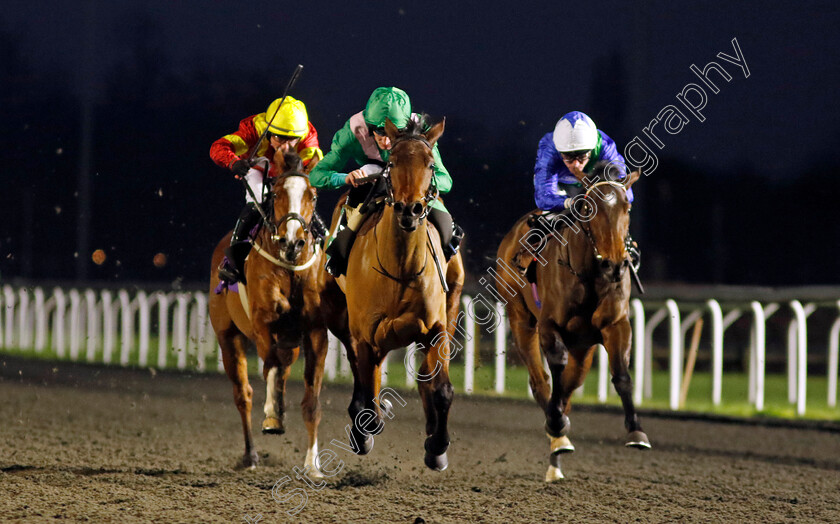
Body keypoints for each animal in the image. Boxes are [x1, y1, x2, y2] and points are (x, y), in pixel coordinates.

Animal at [209, 148, 328, 474]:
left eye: (313, 195)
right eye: (275, 194)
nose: (292, 241)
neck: (290, 267)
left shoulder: (315, 333)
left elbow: (312, 401)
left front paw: (313, 465)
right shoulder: (263, 325)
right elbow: (270, 366)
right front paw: (273, 415)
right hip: (227, 336)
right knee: (243, 394)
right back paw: (250, 454)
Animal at [320, 117, 466, 470]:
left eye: (430, 163)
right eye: (392, 163)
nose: (410, 209)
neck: (400, 267)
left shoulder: (436, 328)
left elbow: (441, 388)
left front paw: (437, 446)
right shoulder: (364, 334)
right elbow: (367, 396)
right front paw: (365, 430)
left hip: (452, 304)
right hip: (338, 316)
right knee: (362, 377)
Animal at [496, 162, 648, 482]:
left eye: (627, 206)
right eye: (589, 207)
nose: (614, 265)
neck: (589, 274)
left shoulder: (616, 324)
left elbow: (621, 376)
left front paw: (636, 430)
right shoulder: (548, 326)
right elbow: (555, 369)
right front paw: (555, 424)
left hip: (583, 346)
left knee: (569, 384)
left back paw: (557, 454)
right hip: (520, 318)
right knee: (541, 381)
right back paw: (557, 438)